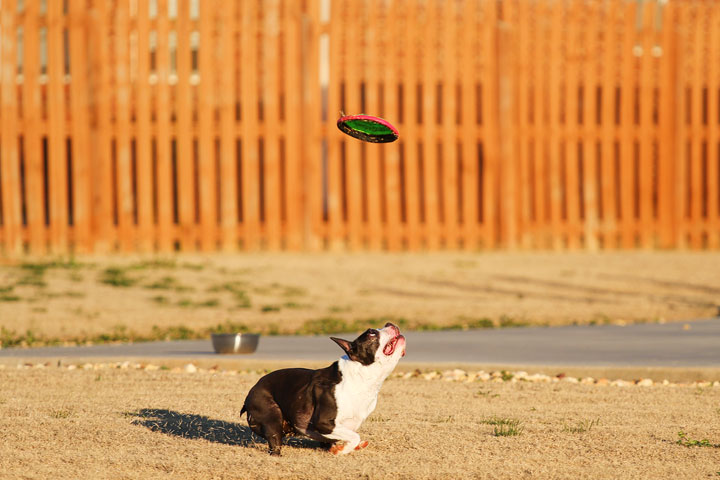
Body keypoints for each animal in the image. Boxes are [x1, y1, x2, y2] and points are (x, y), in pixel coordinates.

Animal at [242, 322, 404, 454]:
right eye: (371, 332)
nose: (389, 323)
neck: (362, 376)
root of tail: (251, 391)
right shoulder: (324, 423)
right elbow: (354, 436)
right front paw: (343, 450)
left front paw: (340, 448)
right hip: (271, 415)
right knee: (274, 443)